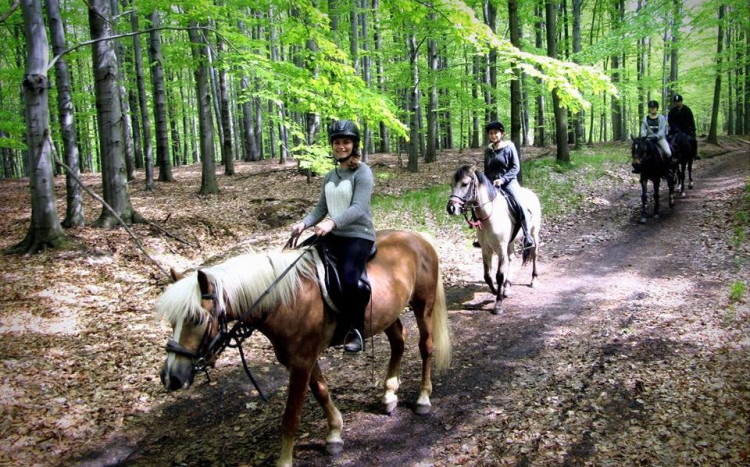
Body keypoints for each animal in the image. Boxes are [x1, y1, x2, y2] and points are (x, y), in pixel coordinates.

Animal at [155, 230, 450, 467]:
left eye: (196, 319)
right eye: (172, 321)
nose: (171, 377)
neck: (285, 300)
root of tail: (419, 238)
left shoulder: (301, 362)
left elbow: (291, 417)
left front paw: (285, 461)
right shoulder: (303, 359)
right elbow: (320, 391)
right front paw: (334, 433)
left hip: (423, 305)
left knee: (425, 346)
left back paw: (423, 398)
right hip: (385, 314)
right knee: (399, 340)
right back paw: (389, 394)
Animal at [446, 165, 540, 314]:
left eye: (465, 184)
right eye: (451, 184)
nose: (451, 208)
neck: (489, 216)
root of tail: (531, 193)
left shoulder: (500, 250)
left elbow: (499, 276)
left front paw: (498, 304)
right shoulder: (486, 250)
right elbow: (487, 276)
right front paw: (496, 292)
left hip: (534, 233)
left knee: (534, 253)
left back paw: (534, 280)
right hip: (510, 242)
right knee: (511, 258)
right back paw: (507, 287)